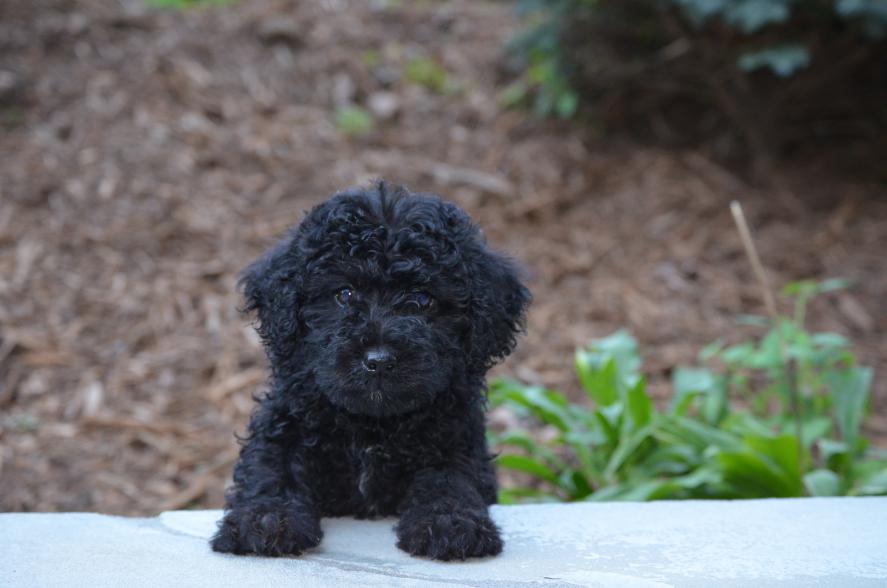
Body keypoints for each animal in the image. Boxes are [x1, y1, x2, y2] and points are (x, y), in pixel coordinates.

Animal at [212, 180, 532, 560]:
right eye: (345, 294)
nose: (378, 360)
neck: (372, 427)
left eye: (422, 299)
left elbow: (450, 477)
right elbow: (272, 467)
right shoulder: (285, 424)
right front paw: (265, 519)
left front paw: (450, 523)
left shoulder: (456, 438)